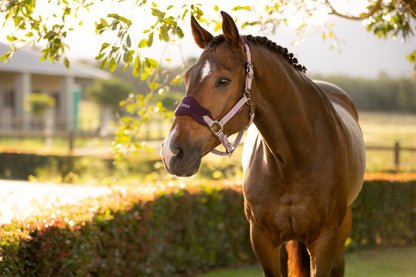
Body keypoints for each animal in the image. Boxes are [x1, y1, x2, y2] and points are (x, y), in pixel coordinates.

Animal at [161, 11, 366, 276]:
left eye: (223, 81)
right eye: (187, 77)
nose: (171, 152)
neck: (294, 161)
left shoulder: (325, 240)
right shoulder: (262, 239)